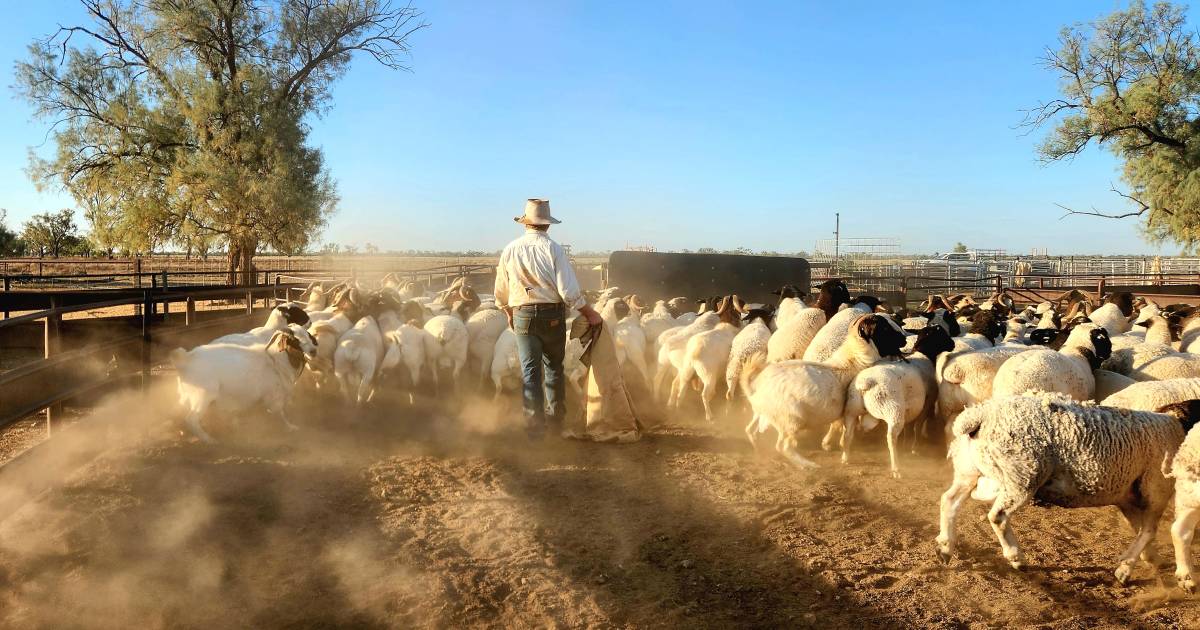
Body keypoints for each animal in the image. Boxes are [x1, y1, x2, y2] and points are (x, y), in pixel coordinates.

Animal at [171, 328, 319, 441]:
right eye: (294, 340)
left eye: (308, 335)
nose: (313, 351)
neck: (277, 361)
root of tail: (186, 359)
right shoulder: (274, 396)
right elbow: (279, 413)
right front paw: (290, 427)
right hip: (202, 397)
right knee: (191, 419)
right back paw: (209, 440)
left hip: (188, 396)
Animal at [734, 312, 902, 468]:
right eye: (884, 328)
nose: (904, 339)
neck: (854, 360)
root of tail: (756, 389)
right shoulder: (845, 411)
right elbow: (837, 426)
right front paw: (827, 444)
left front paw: (827, 443)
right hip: (791, 420)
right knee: (782, 446)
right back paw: (807, 465)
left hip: (763, 414)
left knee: (750, 430)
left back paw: (760, 452)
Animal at [835, 324, 955, 477]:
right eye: (941, 333)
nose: (953, 344)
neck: (924, 356)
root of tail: (866, 384)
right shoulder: (927, 403)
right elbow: (917, 427)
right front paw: (914, 448)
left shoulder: (910, 408)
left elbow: (908, 429)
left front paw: (906, 446)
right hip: (893, 411)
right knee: (891, 438)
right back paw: (896, 468)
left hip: (851, 410)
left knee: (848, 435)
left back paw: (845, 459)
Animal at [936, 393, 1200, 585]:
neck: (1179, 425)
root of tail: (980, 416)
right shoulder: (1157, 488)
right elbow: (1149, 530)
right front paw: (1127, 569)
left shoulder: (1128, 494)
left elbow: (1140, 528)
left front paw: (1146, 559)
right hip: (1022, 474)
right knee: (997, 516)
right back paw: (1016, 557)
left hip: (969, 470)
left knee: (949, 500)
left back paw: (945, 547)